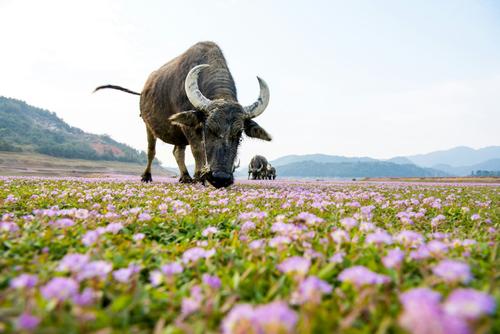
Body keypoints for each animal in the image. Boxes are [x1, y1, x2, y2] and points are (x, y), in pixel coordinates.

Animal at [95, 41, 272, 188]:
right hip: (148, 126)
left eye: (239, 134)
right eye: (208, 129)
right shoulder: (191, 128)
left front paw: (197, 177)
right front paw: (200, 177)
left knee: (177, 152)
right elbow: (197, 149)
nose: (221, 178)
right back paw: (147, 176)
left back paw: (185, 177)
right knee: (151, 151)